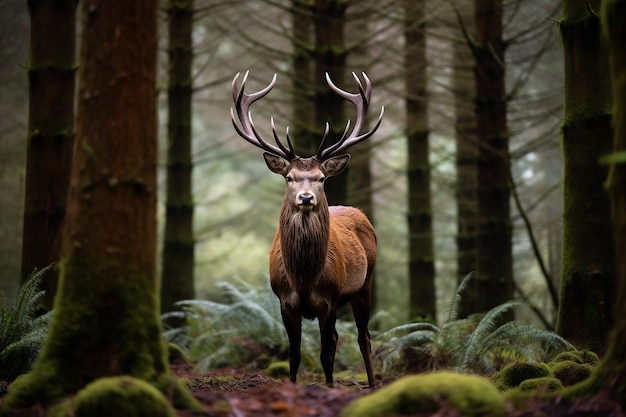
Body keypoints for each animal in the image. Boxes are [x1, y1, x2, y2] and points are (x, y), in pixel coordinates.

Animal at [232, 70, 382, 386]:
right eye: (289, 177)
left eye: (321, 178)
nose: (305, 197)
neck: (303, 278)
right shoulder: (285, 302)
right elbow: (294, 356)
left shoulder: (328, 301)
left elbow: (326, 354)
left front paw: (330, 387)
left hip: (365, 283)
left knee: (363, 337)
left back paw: (373, 383)